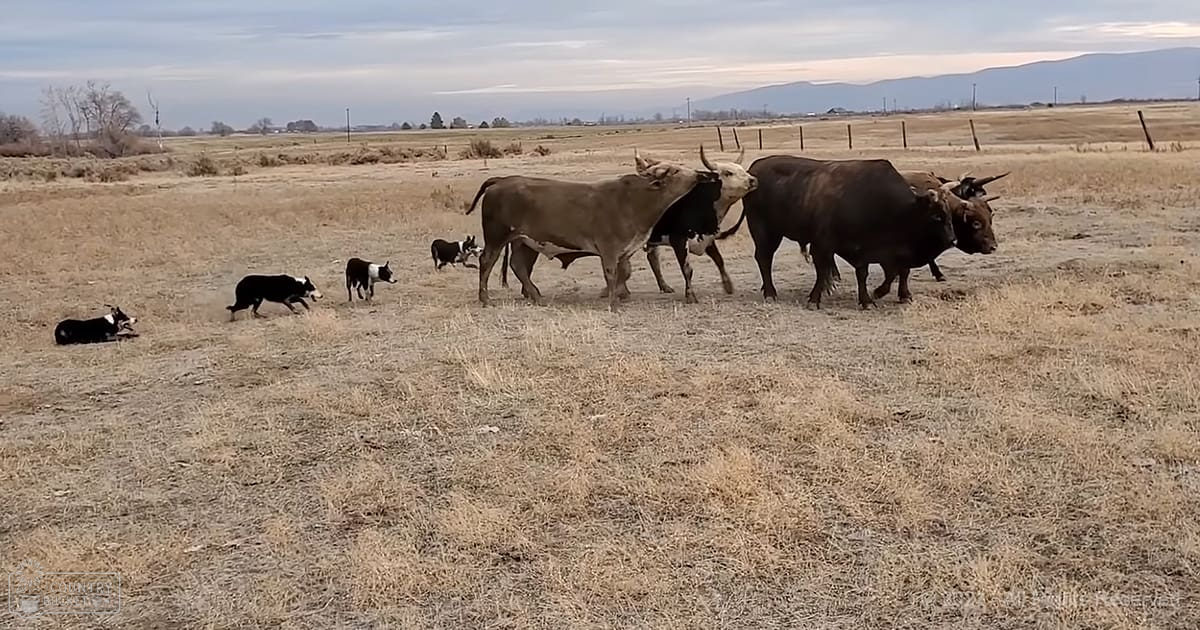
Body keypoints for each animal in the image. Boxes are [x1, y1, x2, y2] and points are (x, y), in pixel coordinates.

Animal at [465, 152, 713, 312]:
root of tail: (501, 181)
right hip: (497, 238)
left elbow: (624, 272)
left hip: (523, 241)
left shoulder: (626, 250)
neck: (634, 200)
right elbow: (611, 273)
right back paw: (485, 298)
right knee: (487, 262)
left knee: (518, 265)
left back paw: (536, 296)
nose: (700, 174)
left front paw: (621, 294)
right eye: (674, 170)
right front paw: (613, 302)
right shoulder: (609, 249)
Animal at [718, 155, 958, 309]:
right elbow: (823, 271)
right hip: (765, 232)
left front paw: (869, 299)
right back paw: (770, 292)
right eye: (936, 216)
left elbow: (872, 273)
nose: (952, 240)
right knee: (764, 259)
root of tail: (753, 173)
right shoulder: (824, 244)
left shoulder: (869, 250)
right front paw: (815, 299)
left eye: (949, 215)